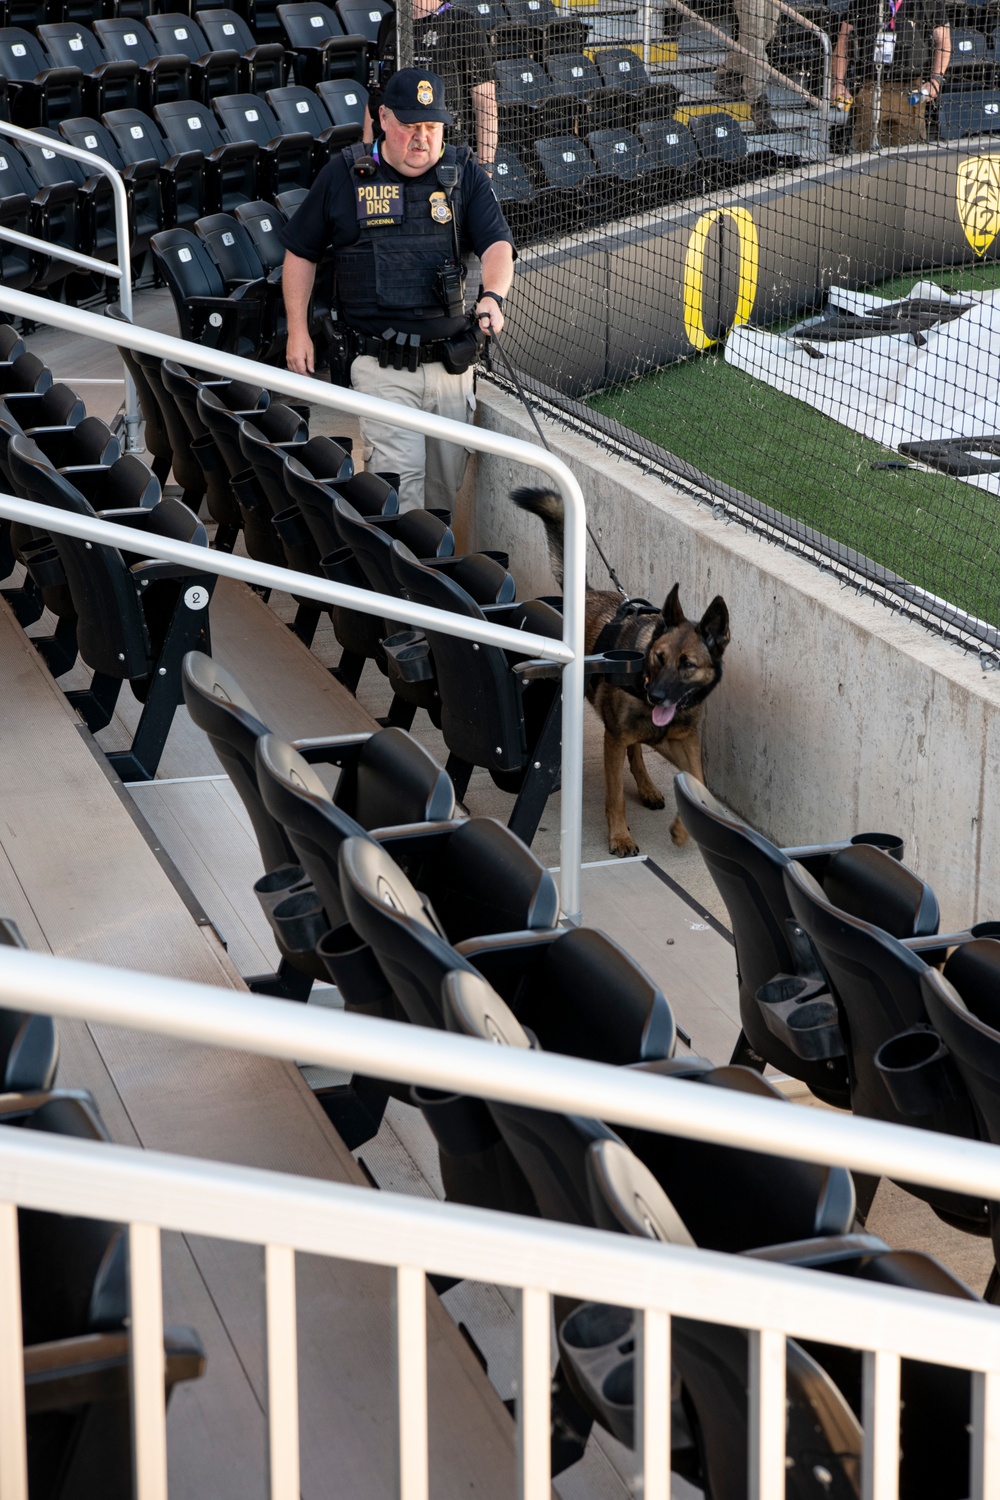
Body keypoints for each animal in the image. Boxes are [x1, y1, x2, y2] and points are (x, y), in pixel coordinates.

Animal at [515, 489, 728, 858]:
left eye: (687, 664)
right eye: (658, 657)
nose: (655, 696)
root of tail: (586, 593)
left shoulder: (685, 739)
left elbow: (697, 778)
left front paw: (682, 829)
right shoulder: (613, 738)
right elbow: (615, 796)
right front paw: (620, 837)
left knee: (637, 750)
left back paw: (647, 787)